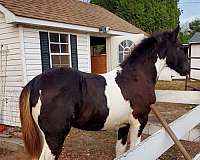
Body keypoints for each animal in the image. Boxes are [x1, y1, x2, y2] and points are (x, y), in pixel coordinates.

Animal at [19, 25, 189, 159]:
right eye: (180, 47)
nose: (187, 70)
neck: (136, 77)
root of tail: (35, 82)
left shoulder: (124, 124)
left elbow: (121, 151)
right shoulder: (139, 121)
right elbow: (135, 149)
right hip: (55, 136)